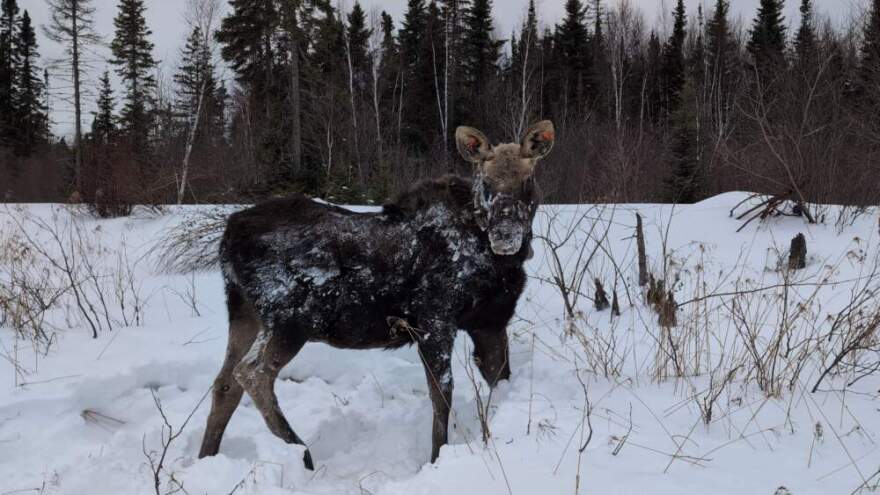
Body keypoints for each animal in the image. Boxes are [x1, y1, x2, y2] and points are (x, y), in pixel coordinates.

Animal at [198, 121, 556, 469]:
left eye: (528, 180)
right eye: (486, 182)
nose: (504, 236)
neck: (497, 260)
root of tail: (229, 235)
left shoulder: (490, 322)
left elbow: (500, 378)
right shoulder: (435, 318)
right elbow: (441, 395)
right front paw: (436, 456)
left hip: (245, 313)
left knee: (225, 382)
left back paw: (207, 457)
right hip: (290, 318)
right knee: (252, 373)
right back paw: (301, 452)